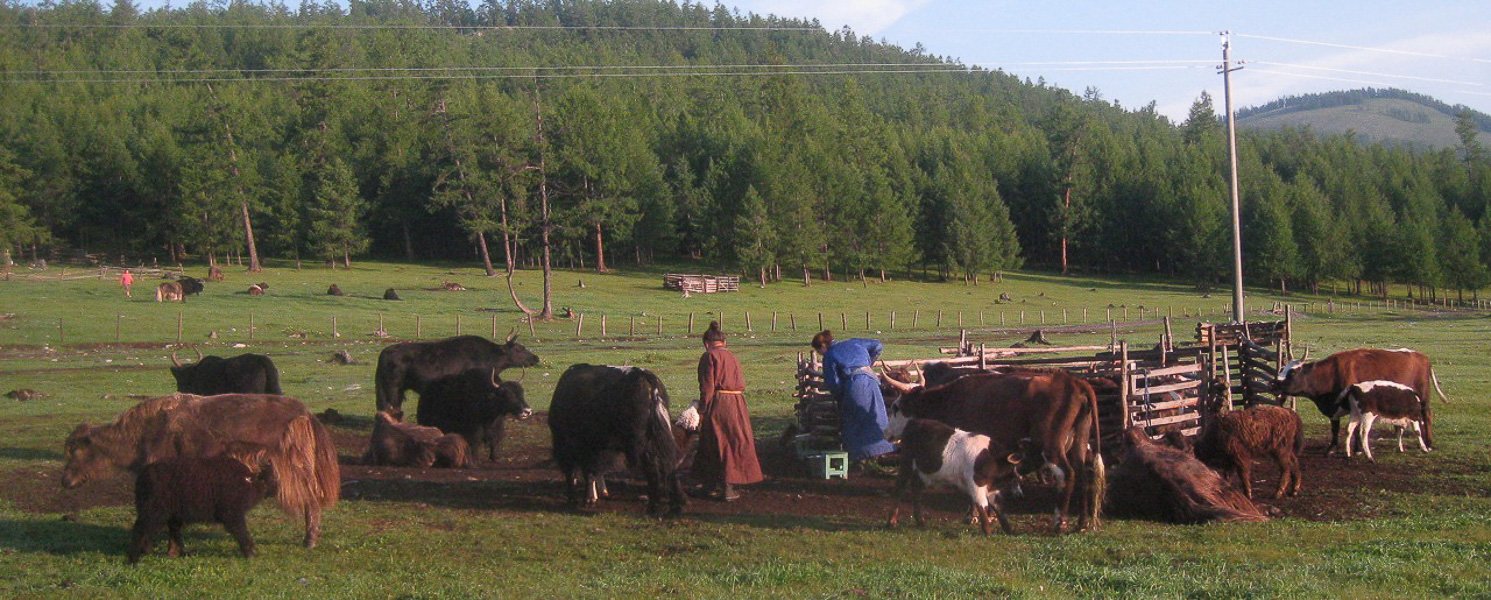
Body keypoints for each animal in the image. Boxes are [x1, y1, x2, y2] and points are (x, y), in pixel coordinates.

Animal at [62, 393, 341, 548]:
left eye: (74, 450)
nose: (65, 481)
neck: (143, 433)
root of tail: (305, 414)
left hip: (295, 469)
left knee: (311, 500)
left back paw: (309, 541)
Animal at [127, 456, 271, 563]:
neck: (247, 481)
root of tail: (143, 476)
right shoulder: (232, 514)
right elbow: (241, 532)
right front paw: (250, 552)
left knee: (157, 531)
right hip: (154, 510)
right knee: (140, 529)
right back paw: (133, 559)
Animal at [548, 364, 686, 516]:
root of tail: (645, 376)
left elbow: (580, 471)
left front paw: (580, 499)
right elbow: (593, 470)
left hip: (641, 444)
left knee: (653, 470)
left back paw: (653, 507)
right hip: (659, 437)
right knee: (669, 464)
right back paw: (676, 506)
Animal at [886, 418, 1032, 535]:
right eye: (1014, 470)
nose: (1020, 494)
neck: (991, 458)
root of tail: (914, 421)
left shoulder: (991, 488)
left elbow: (998, 507)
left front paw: (1010, 531)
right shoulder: (976, 484)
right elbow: (982, 505)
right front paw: (988, 533)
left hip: (924, 472)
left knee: (916, 489)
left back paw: (920, 522)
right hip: (906, 463)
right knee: (899, 488)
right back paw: (891, 522)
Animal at [1277, 348, 1447, 454]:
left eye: (1292, 372)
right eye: (1282, 369)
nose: (1274, 383)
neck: (1331, 374)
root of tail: (1422, 357)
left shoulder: (1359, 407)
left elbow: (1357, 428)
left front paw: (1357, 449)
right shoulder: (1334, 408)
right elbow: (1335, 428)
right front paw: (1332, 448)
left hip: (1423, 397)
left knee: (1427, 415)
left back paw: (1428, 443)